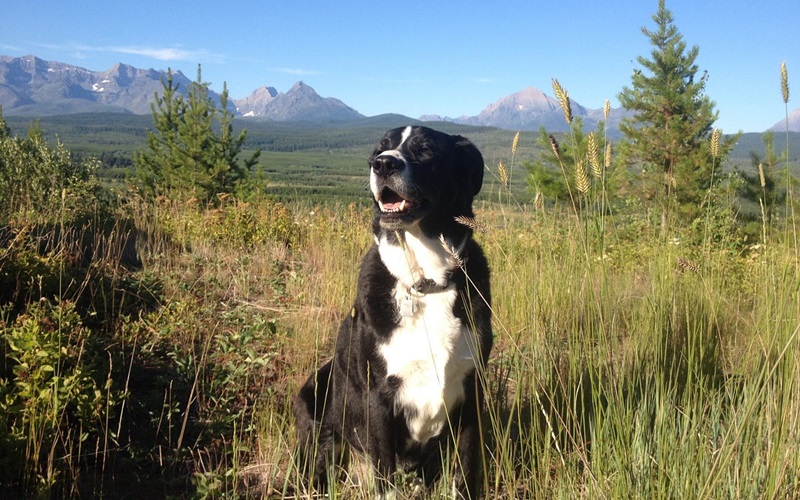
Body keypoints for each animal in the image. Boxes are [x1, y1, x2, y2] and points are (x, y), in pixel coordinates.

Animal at [296, 127, 494, 498]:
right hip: (314, 400)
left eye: (426, 149)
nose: (383, 164)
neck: (427, 283)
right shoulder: (379, 398)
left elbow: (466, 470)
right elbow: (385, 479)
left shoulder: (473, 391)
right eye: (378, 150)